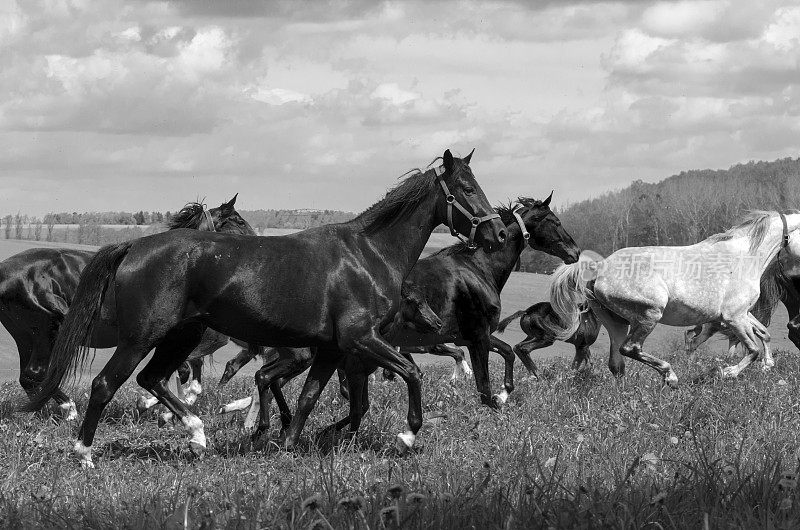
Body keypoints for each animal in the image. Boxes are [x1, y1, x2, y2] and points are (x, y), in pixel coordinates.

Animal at [0, 196, 253, 414]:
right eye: (240, 221)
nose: (254, 242)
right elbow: (180, 372)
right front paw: (163, 405)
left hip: (25, 336)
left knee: (28, 377)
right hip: (44, 332)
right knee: (36, 374)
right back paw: (68, 408)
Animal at [31, 147, 506, 462]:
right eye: (466, 188)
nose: (498, 233)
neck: (368, 254)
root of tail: (133, 245)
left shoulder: (331, 348)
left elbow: (309, 397)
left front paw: (287, 443)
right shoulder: (360, 338)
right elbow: (410, 372)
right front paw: (407, 436)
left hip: (180, 335)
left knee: (153, 379)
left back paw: (198, 435)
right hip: (142, 337)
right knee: (106, 384)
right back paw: (84, 453)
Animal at [548, 210, 800, 384]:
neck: (745, 256)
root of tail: (599, 268)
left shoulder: (742, 314)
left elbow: (764, 334)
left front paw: (768, 365)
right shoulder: (733, 317)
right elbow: (753, 349)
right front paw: (727, 372)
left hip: (616, 322)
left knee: (617, 363)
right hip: (649, 314)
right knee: (631, 348)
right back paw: (670, 376)